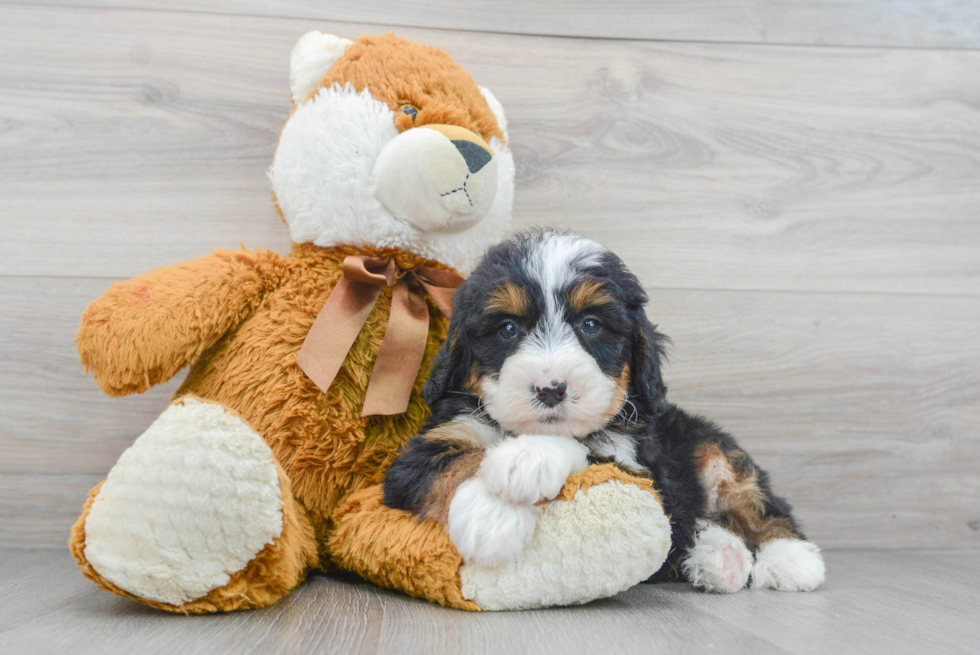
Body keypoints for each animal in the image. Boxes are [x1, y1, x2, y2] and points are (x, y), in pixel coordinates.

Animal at [382, 231, 828, 596]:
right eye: (508, 329)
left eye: (591, 325)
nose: (550, 388)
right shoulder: (427, 449)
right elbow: (459, 461)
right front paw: (492, 514)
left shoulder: (638, 469)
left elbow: (586, 452)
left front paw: (523, 463)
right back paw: (719, 557)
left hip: (713, 450)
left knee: (759, 502)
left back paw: (789, 558)